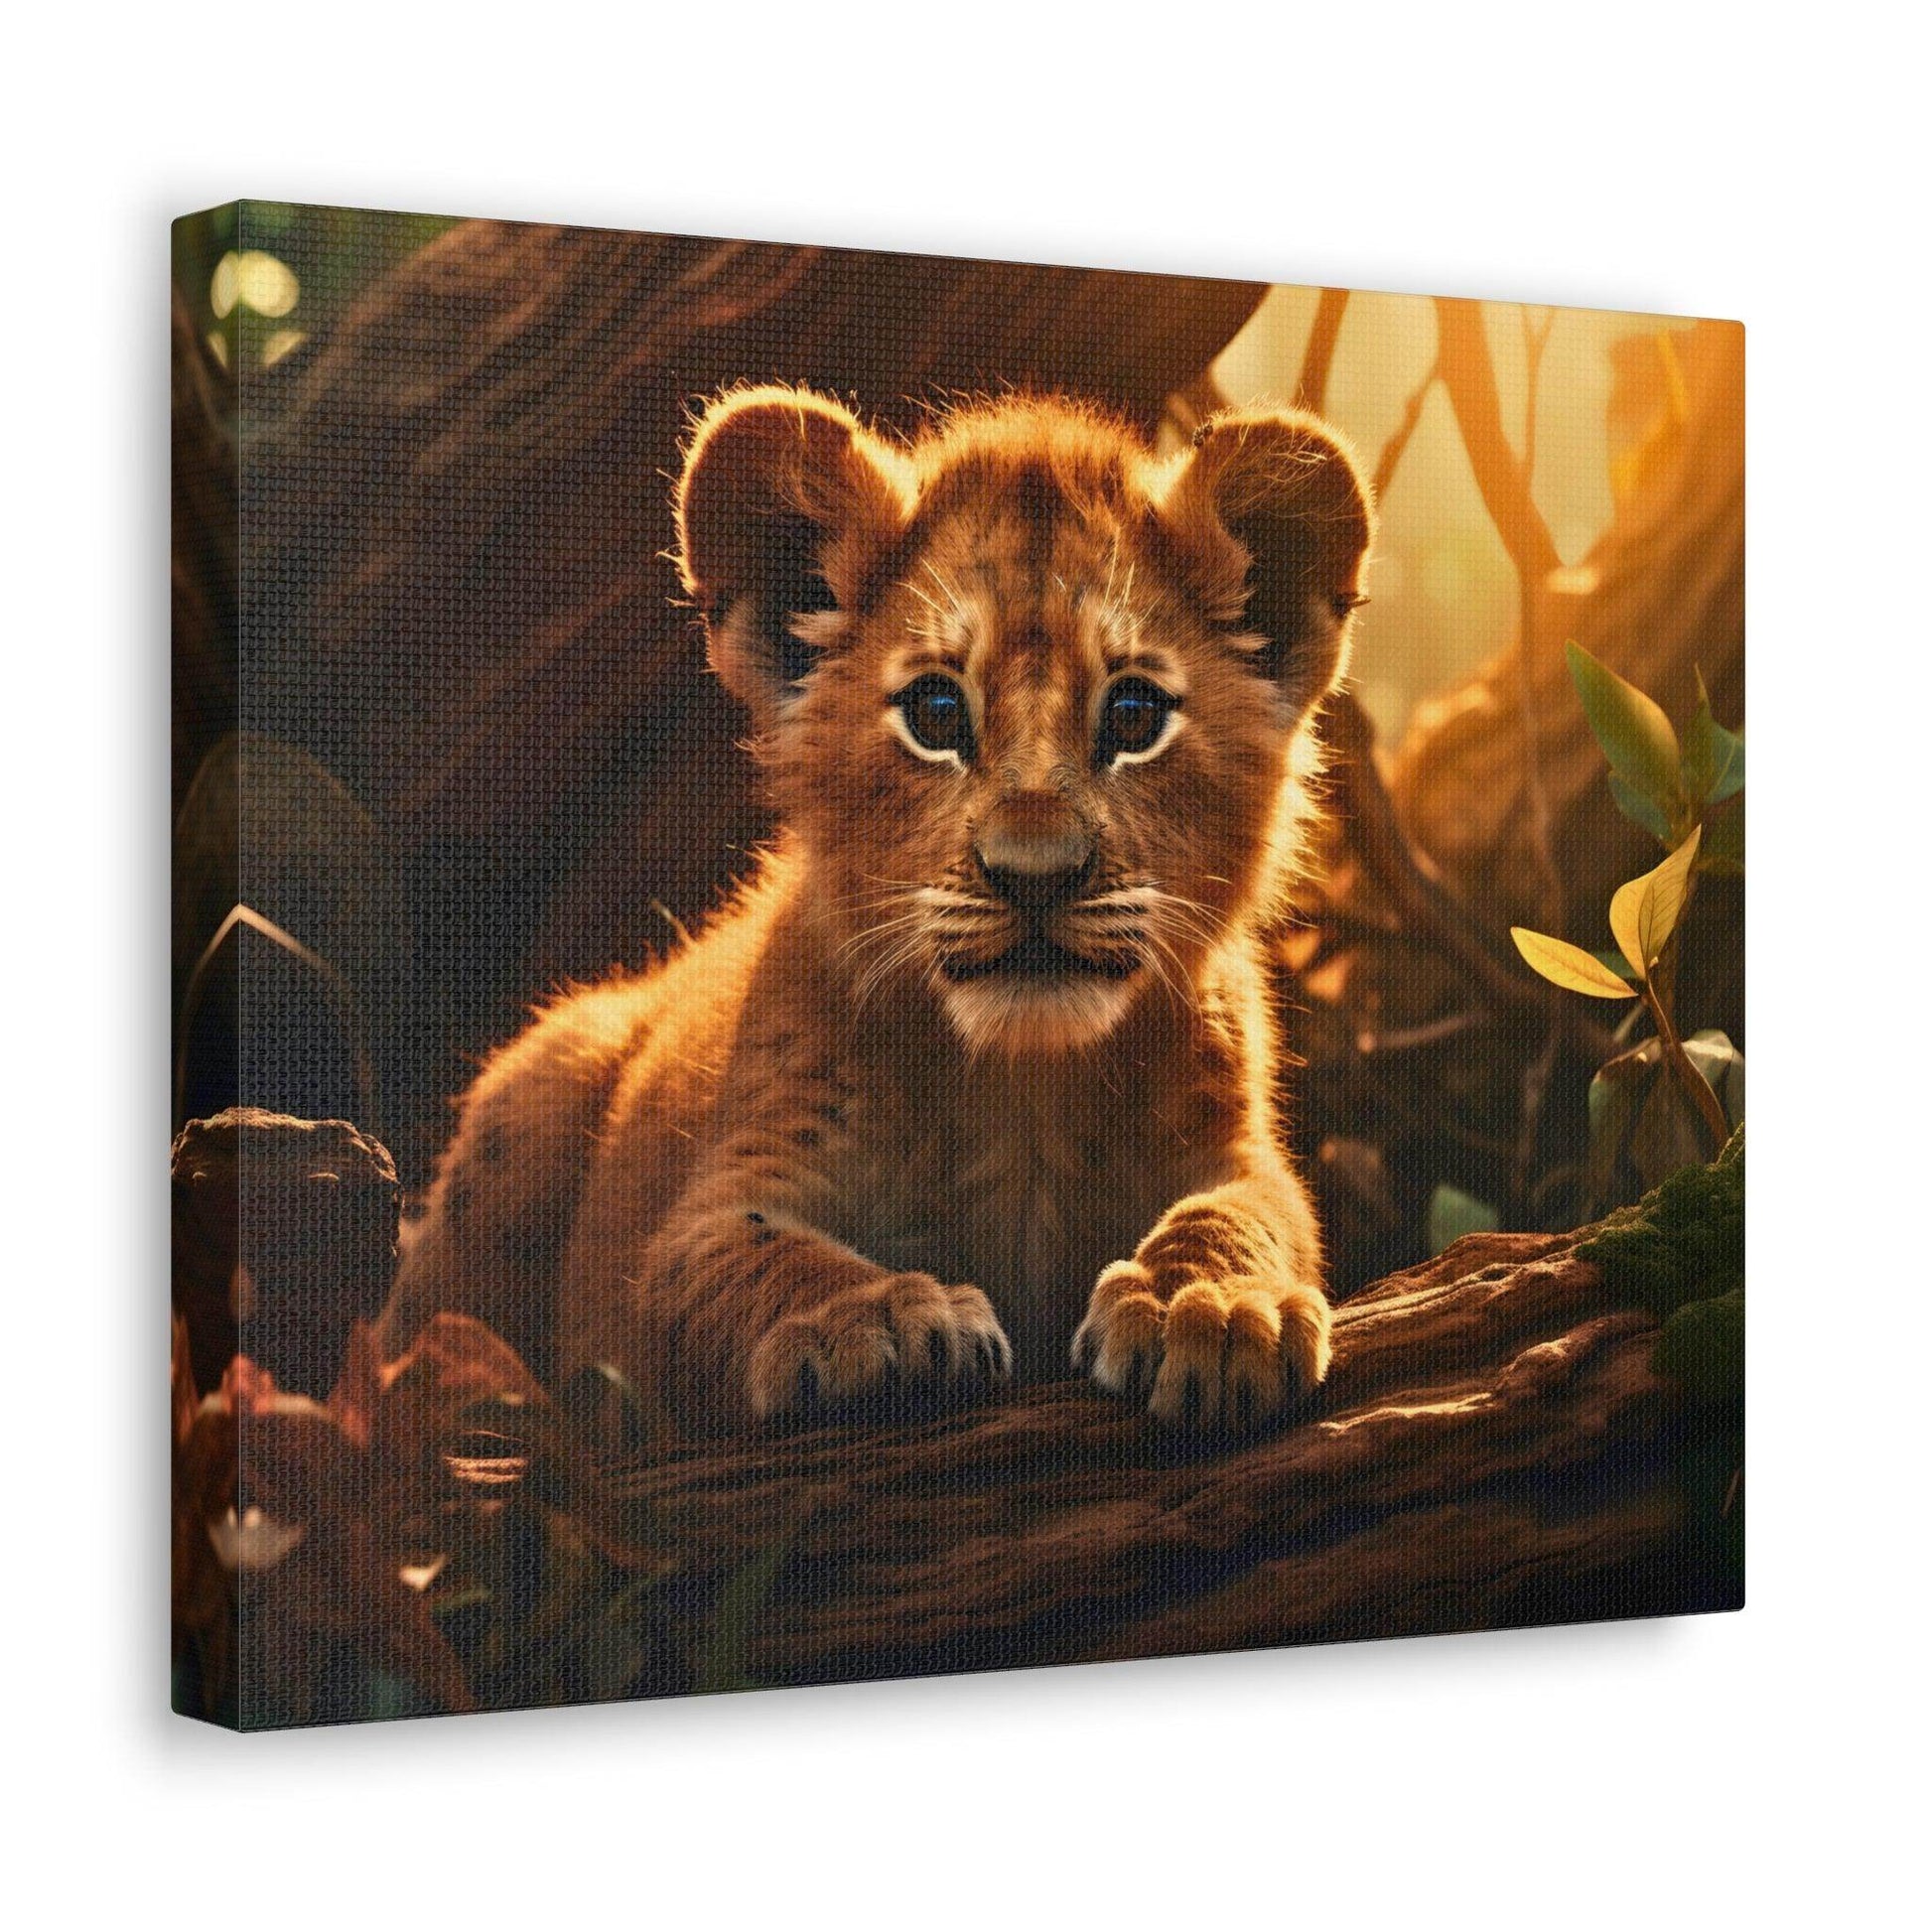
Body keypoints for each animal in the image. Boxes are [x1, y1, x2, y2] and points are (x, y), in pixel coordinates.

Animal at [378, 385, 1374, 1441]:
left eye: (1134, 716)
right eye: (936, 714)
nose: (1035, 876)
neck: (1021, 1090)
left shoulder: (1236, 1151)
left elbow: (1244, 1215)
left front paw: (1212, 1305)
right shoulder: (712, 1206)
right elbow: (760, 1257)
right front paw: (879, 1317)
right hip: (539, 1088)